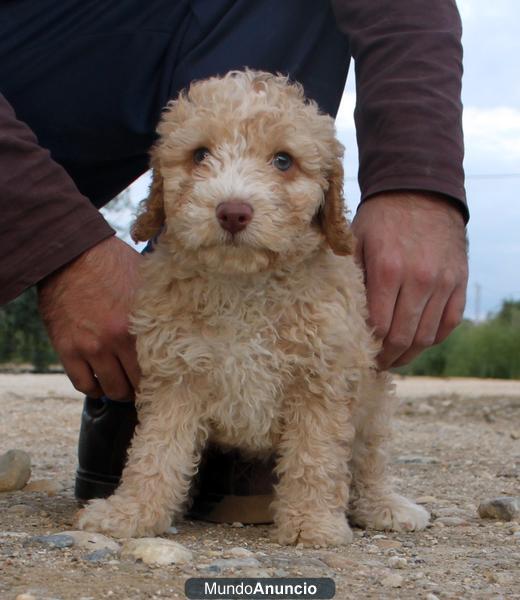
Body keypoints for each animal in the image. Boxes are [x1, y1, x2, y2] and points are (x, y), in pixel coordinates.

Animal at [76, 69, 426, 544]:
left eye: (283, 160)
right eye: (200, 154)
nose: (233, 212)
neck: (243, 286)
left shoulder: (323, 378)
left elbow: (316, 456)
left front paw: (311, 522)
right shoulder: (176, 375)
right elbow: (156, 451)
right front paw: (133, 512)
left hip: (370, 399)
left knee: (369, 458)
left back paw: (384, 506)